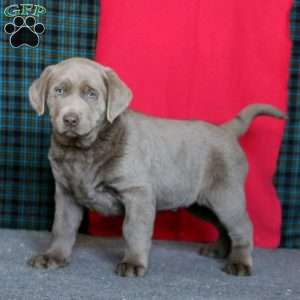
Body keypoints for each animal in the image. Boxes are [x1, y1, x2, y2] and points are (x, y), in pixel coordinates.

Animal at [28, 57, 286, 278]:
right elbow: (62, 227)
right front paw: (53, 257)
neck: (84, 150)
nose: (71, 119)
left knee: (242, 227)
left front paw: (133, 263)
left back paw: (239, 263)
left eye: (92, 94)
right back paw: (218, 250)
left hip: (226, 194)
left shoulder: (137, 193)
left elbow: (134, 229)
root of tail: (226, 130)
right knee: (223, 225)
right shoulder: (66, 193)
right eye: (59, 91)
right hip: (200, 202)